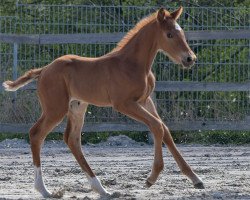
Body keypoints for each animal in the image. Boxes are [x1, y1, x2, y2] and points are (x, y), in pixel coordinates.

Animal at [2, 7, 204, 198]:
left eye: (181, 33)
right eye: (169, 34)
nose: (190, 59)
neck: (132, 64)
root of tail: (44, 70)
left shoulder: (145, 101)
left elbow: (165, 130)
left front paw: (195, 179)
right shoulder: (124, 103)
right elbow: (156, 126)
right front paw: (151, 178)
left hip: (77, 107)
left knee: (72, 139)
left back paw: (101, 189)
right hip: (55, 109)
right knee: (37, 134)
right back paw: (44, 190)